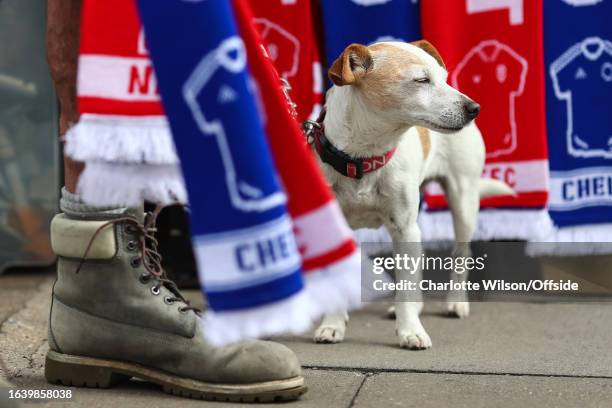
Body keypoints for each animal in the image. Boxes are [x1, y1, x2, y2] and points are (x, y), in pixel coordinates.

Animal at [308, 39, 512, 350]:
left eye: (445, 78)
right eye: (422, 80)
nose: (474, 108)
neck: (364, 157)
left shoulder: (404, 227)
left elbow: (405, 286)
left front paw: (411, 331)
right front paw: (332, 325)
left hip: (462, 201)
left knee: (460, 253)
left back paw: (455, 303)